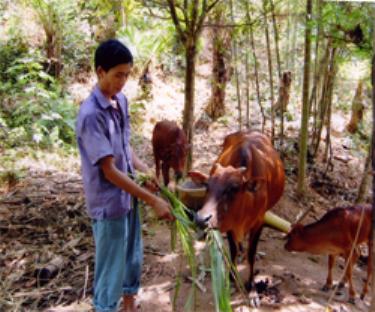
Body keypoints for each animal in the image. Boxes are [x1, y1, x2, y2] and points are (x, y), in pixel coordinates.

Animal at [189, 130, 286, 292]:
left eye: (233, 188)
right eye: (207, 185)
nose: (201, 219)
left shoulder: (259, 223)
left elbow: (251, 253)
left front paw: (251, 284)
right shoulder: (229, 224)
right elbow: (233, 250)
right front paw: (231, 276)